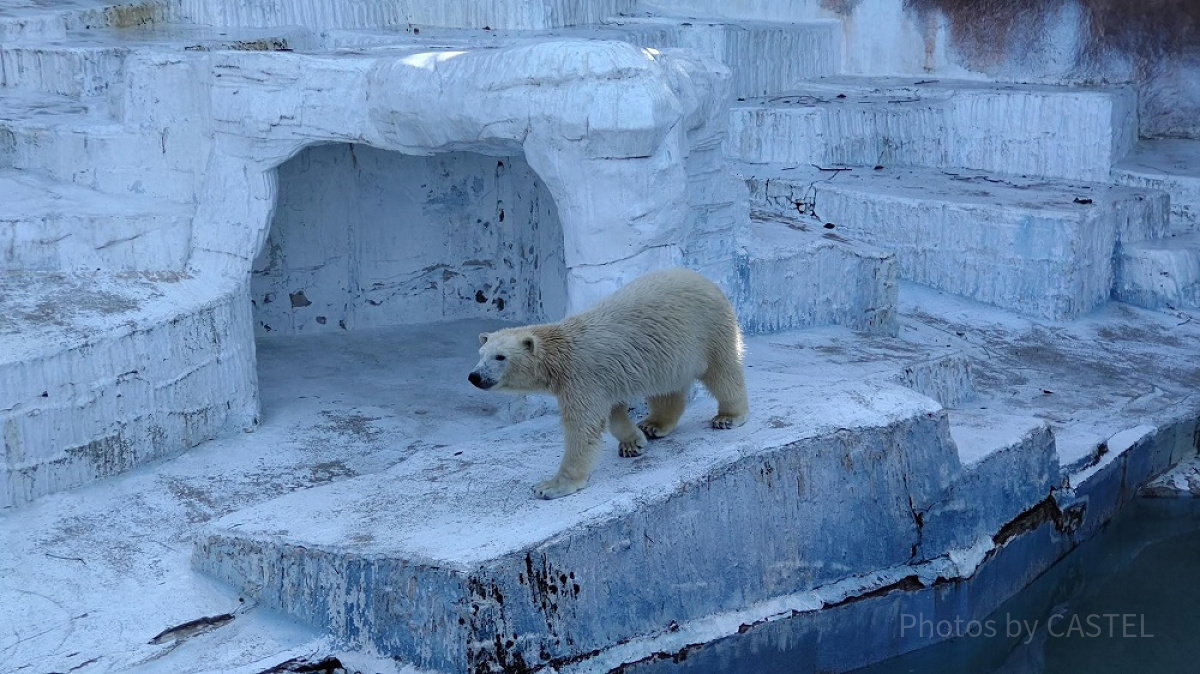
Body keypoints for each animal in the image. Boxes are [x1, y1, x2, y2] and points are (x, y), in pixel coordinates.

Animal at [465, 268, 739, 498]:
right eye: (481, 354)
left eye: (500, 357)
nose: (474, 377)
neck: (560, 354)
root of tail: (704, 279)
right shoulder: (601, 381)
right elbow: (612, 413)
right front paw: (633, 442)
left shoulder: (581, 377)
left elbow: (582, 428)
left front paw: (551, 486)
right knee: (667, 387)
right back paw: (654, 425)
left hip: (707, 329)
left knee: (722, 371)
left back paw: (728, 416)